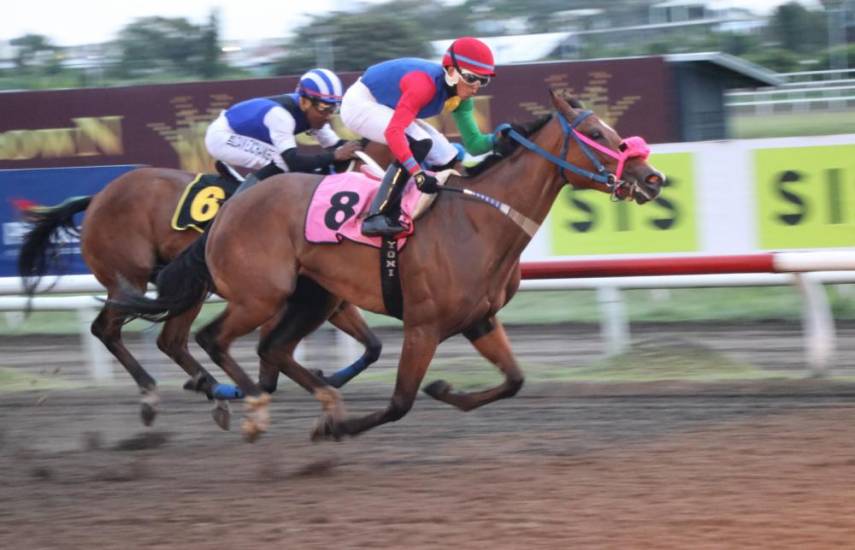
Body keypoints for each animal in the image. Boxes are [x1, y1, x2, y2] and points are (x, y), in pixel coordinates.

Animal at [110, 91, 664, 444]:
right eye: (594, 132)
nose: (652, 177)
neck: (480, 220)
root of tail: (230, 207)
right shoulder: (423, 325)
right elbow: (400, 402)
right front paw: (338, 427)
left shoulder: (480, 319)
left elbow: (514, 380)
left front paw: (445, 389)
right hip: (260, 294)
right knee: (213, 339)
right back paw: (251, 407)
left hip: (312, 296)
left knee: (272, 348)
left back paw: (316, 396)